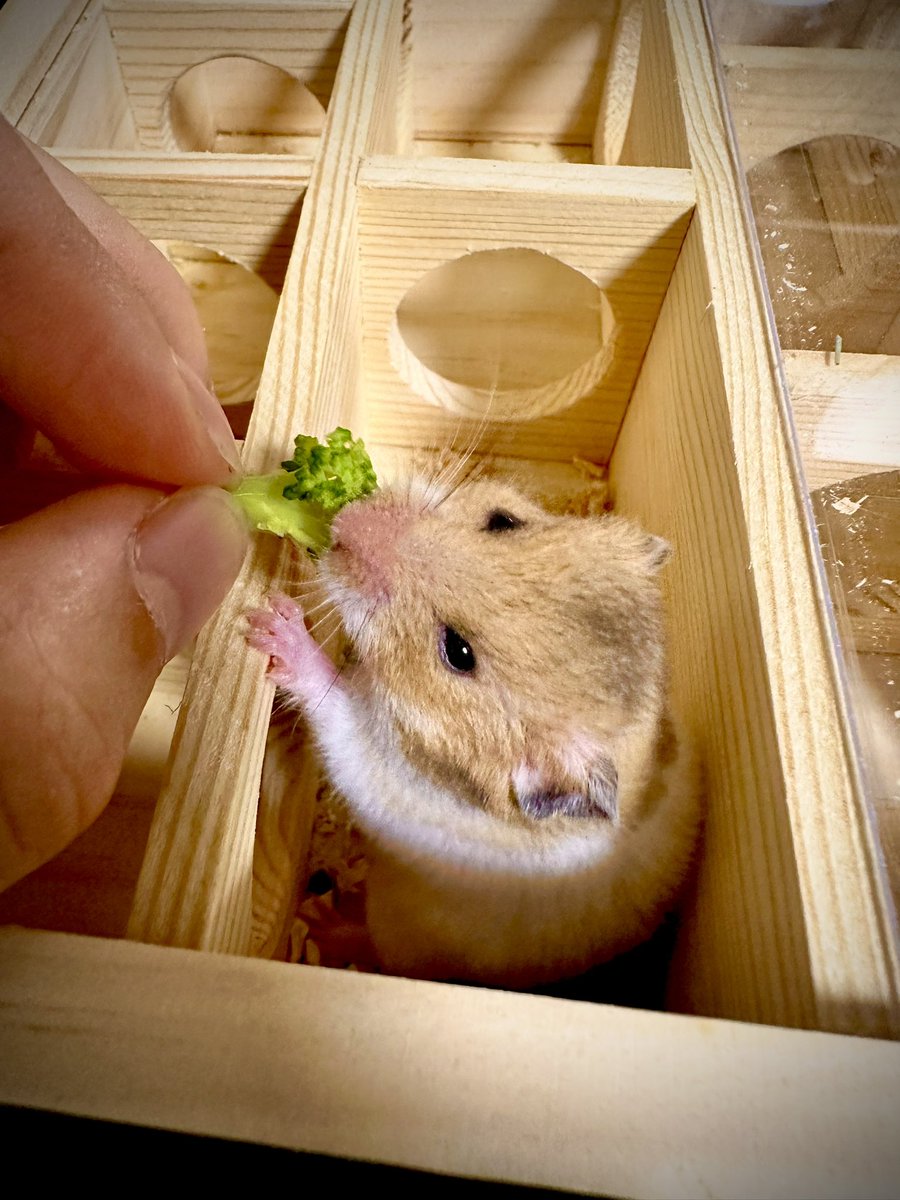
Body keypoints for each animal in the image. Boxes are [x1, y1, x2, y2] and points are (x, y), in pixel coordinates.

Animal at [247, 473, 699, 986]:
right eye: (503, 522)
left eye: (458, 652)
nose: (347, 522)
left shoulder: (385, 773)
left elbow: (337, 712)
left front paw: (274, 626)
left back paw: (329, 922)